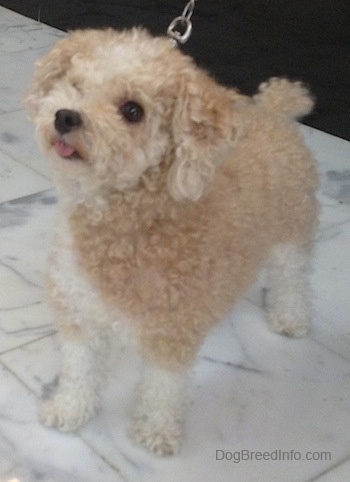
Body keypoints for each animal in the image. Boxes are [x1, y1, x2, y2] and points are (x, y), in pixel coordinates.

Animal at [24, 26, 318, 456]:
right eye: (76, 86)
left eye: (133, 111)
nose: (65, 116)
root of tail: (274, 111)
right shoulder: (80, 312)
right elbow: (80, 370)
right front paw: (69, 409)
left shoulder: (171, 331)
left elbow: (163, 387)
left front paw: (155, 432)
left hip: (292, 231)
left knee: (292, 278)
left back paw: (290, 318)